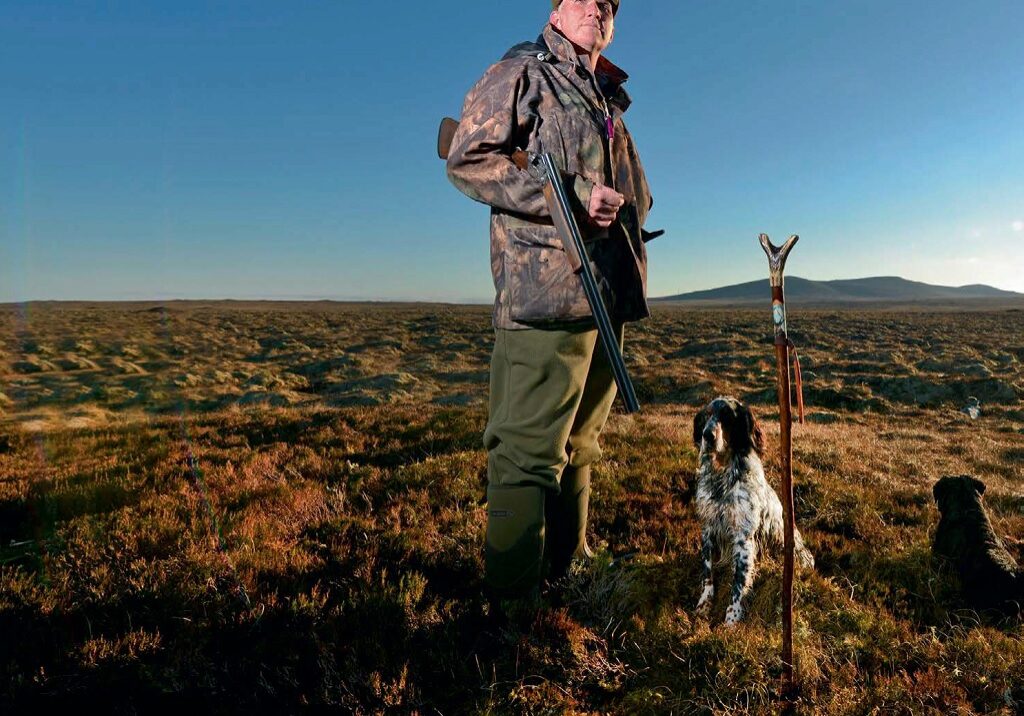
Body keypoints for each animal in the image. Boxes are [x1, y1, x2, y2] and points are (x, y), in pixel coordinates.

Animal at [688, 401, 815, 622]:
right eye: (707, 416)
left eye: (727, 416)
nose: (707, 435)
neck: (722, 475)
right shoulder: (708, 530)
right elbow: (707, 573)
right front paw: (704, 604)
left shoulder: (743, 538)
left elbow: (738, 583)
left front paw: (732, 619)